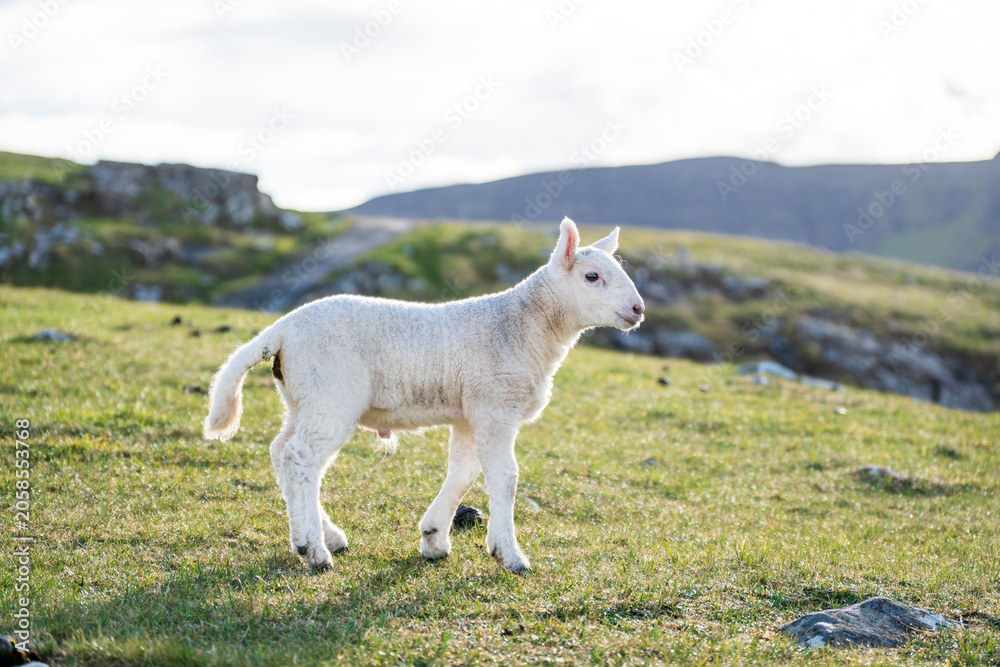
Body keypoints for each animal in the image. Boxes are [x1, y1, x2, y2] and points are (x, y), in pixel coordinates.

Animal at [203, 217, 644, 573]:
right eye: (592, 277)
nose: (638, 309)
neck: (525, 326)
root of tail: (281, 329)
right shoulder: (495, 405)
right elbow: (505, 477)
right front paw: (510, 555)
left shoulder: (471, 412)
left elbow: (464, 473)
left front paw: (434, 538)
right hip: (330, 394)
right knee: (301, 458)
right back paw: (312, 550)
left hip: (300, 397)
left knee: (281, 451)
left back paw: (328, 535)